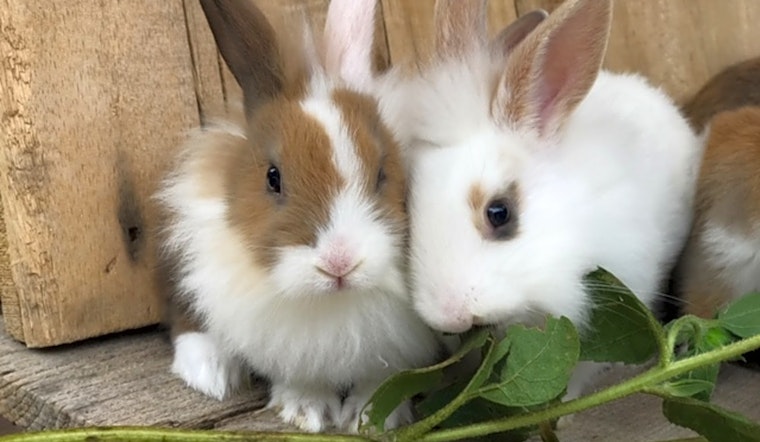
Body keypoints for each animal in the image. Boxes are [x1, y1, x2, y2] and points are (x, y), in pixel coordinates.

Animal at [153, 0, 441, 433]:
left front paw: (368, 418)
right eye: (273, 177)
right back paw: (210, 375)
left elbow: (381, 380)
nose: (339, 263)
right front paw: (307, 412)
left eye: (382, 173)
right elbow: (299, 374)